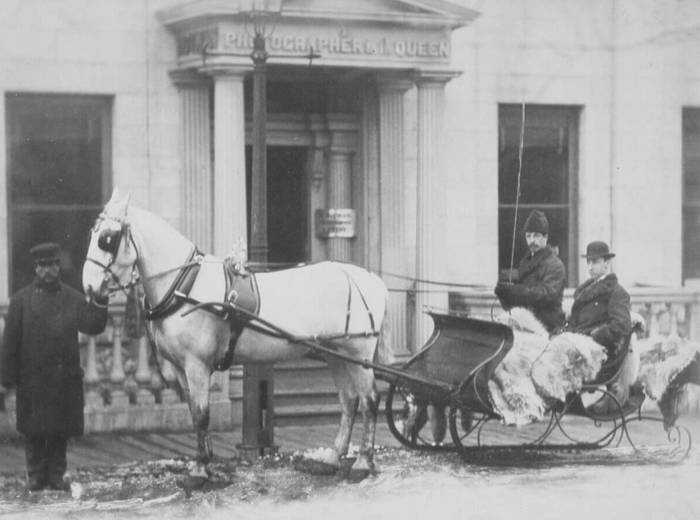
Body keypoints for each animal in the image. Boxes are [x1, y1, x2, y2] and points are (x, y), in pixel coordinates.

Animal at [82, 191, 392, 480]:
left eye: (107, 239)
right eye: (93, 233)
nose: (88, 287)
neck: (185, 286)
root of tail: (371, 279)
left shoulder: (197, 364)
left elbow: (202, 414)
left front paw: (199, 470)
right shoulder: (182, 369)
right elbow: (195, 412)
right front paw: (206, 463)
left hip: (358, 354)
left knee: (370, 400)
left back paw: (363, 462)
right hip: (337, 355)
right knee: (349, 401)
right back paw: (333, 458)